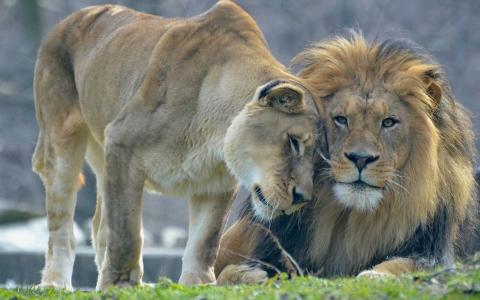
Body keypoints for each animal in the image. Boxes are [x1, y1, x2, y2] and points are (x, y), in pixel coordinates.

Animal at [31, 0, 320, 290]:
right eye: (294, 142)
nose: (303, 198)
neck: (213, 129)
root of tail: (69, 19)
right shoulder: (121, 143)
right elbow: (126, 234)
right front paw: (121, 285)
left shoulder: (217, 180)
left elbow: (205, 240)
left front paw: (199, 283)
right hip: (62, 142)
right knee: (62, 227)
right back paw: (55, 284)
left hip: (103, 155)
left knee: (99, 225)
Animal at [216, 32, 478, 284]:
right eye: (341, 119)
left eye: (388, 122)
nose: (360, 158)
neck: (349, 221)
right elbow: (225, 274)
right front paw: (248, 275)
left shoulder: (437, 255)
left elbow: (406, 265)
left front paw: (375, 276)